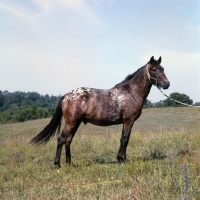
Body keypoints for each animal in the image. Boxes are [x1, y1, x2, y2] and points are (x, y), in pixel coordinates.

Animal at [30, 55, 170, 168]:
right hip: (71, 122)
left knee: (68, 140)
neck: (131, 92)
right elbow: (125, 139)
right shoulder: (128, 120)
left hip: (76, 123)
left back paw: (70, 163)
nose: (166, 84)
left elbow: (123, 139)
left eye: (163, 69)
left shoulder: (126, 122)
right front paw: (122, 160)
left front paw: (120, 158)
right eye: (154, 69)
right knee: (61, 139)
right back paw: (57, 164)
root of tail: (66, 95)